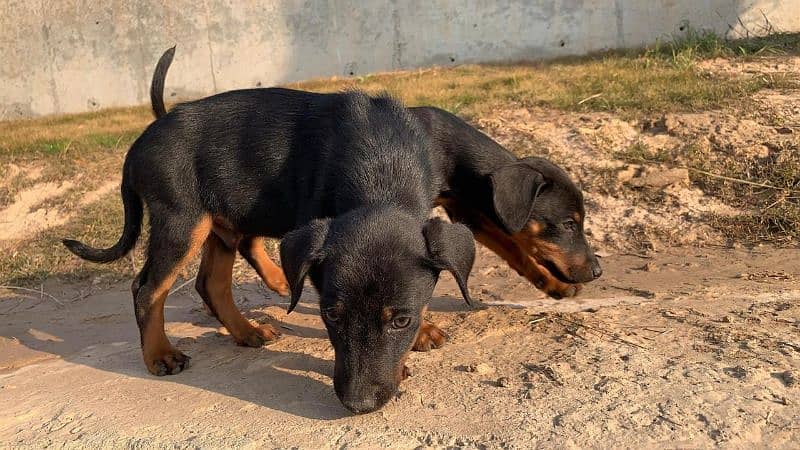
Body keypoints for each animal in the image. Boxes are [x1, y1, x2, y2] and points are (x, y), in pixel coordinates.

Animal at [65, 75, 476, 414]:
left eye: (401, 320)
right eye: (331, 316)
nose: (358, 405)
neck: (381, 170)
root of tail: (137, 145)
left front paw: (421, 332)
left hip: (220, 223)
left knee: (210, 284)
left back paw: (247, 331)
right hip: (182, 220)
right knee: (147, 287)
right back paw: (160, 355)